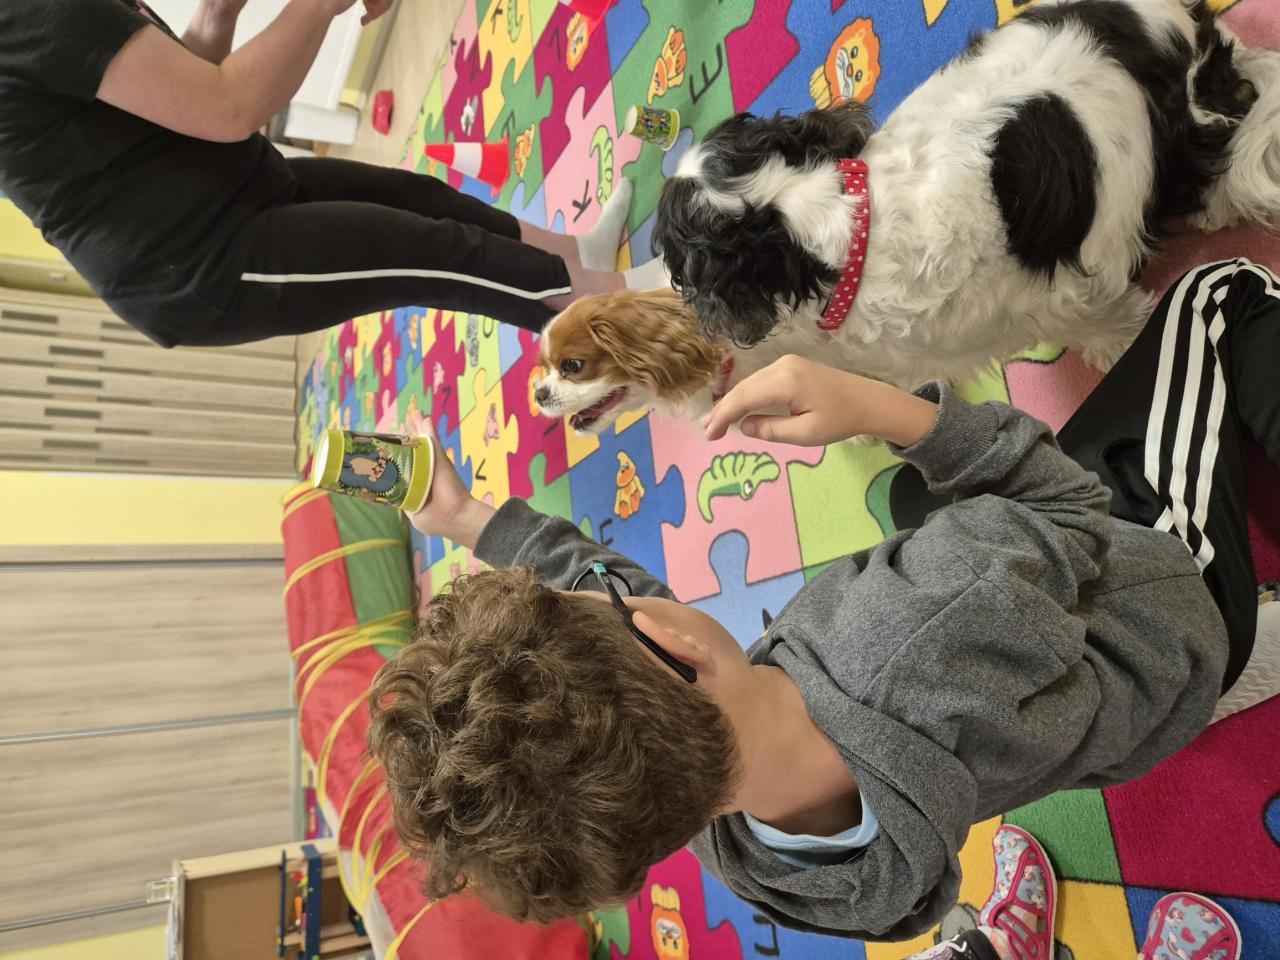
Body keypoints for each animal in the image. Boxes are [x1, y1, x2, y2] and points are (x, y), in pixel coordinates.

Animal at [648, 0, 1280, 391]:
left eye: (676, 262)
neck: (837, 227)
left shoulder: (1072, 293)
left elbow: (1106, 323)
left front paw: (1122, 352)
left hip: (1187, 117)